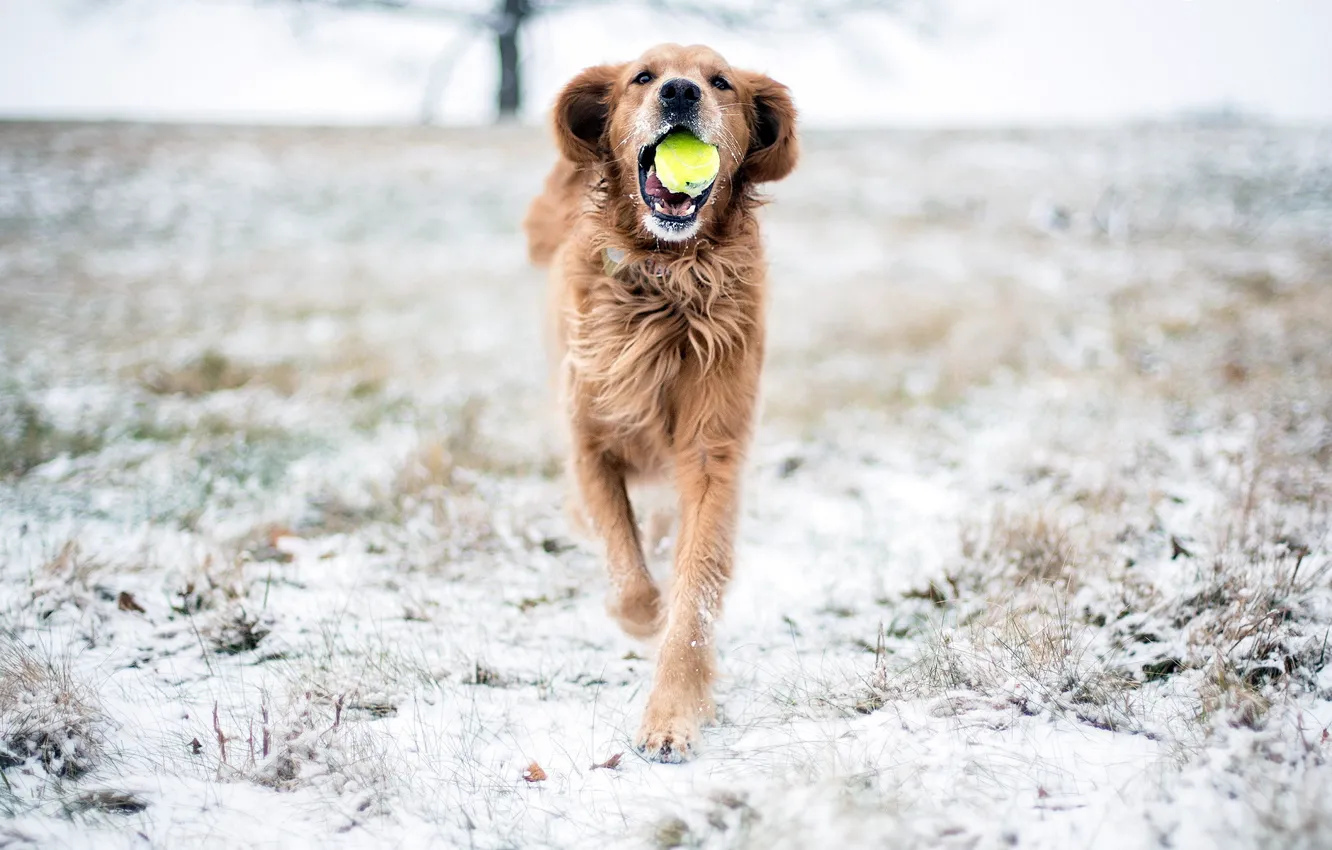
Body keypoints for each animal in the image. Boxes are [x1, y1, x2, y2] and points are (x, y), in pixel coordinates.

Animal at [519, 43, 788, 762]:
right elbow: (627, 565)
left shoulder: (712, 452)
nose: (679, 92)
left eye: (721, 82)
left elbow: (694, 589)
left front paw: (673, 714)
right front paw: (639, 615)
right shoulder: (589, 442)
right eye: (642, 76)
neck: (667, 279)